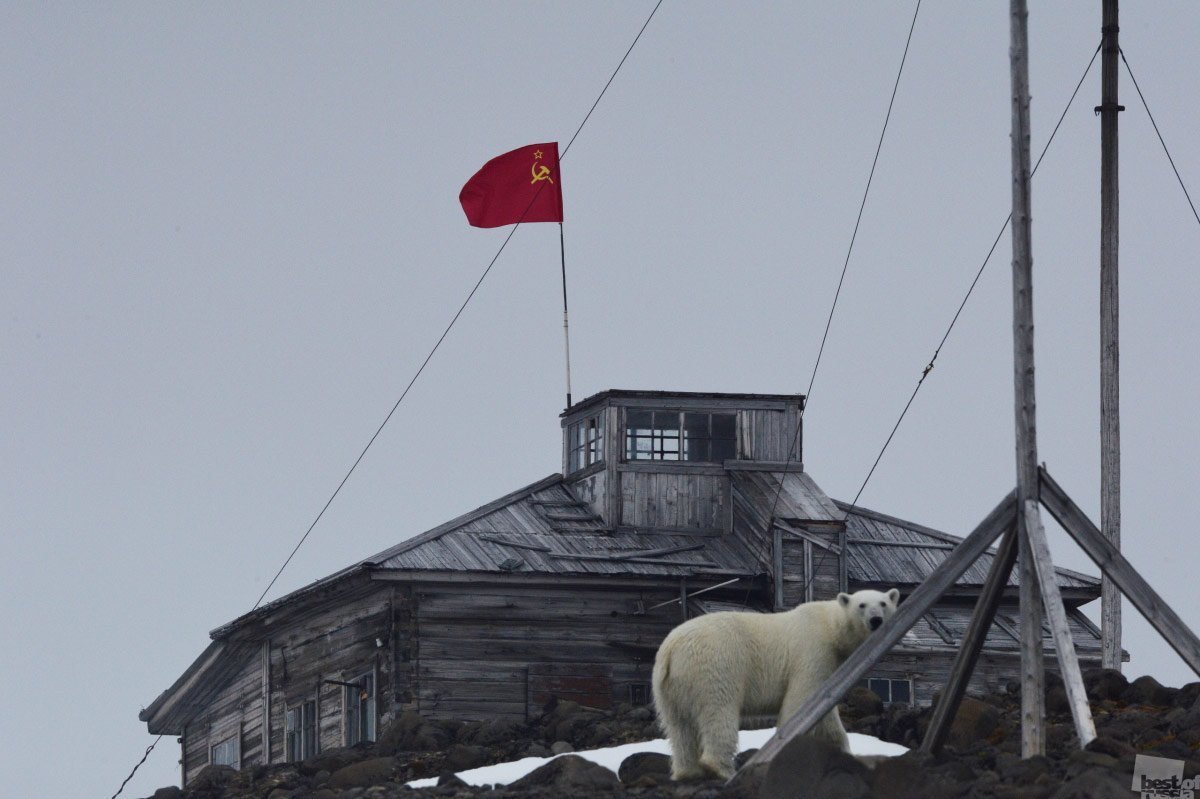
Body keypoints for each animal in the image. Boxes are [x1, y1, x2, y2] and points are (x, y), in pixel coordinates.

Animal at [652, 585, 897, 777]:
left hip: (670, 687)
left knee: (680, 727)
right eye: (862, 605)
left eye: (883, 603)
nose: (876, 620)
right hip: (714, 667)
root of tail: (670, 650)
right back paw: (721, 769)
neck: (830, 626)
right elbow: (801, 699)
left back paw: (687, 771)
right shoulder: (814, 651)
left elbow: (827, 716)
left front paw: (844, 752)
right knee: (719, 712)